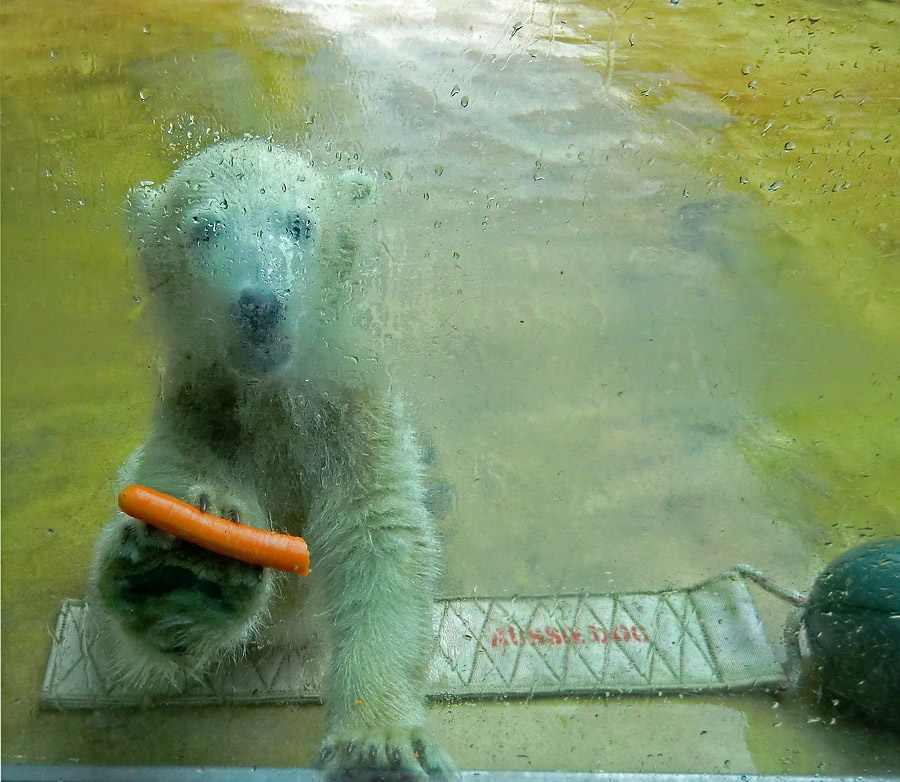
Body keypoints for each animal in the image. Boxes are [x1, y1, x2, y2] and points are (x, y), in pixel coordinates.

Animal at [90, 138, 454, 780]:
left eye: (300, 224)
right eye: (202, 230)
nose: (260, 303)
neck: (273, 404)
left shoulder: (353, 420)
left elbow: (379, 540)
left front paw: (378, 741)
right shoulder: (199, 420)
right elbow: (134, 661)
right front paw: (184, 565)